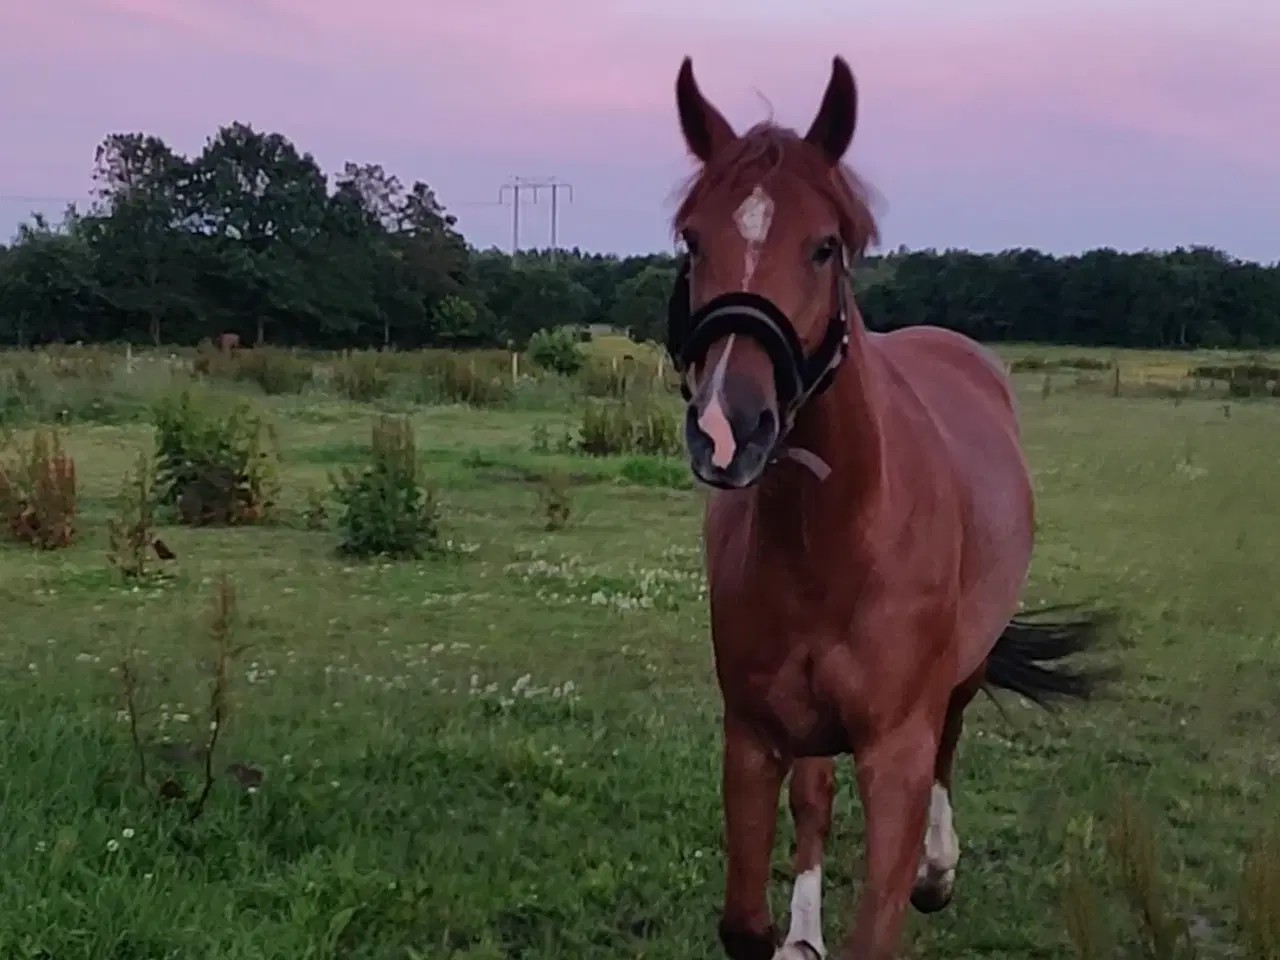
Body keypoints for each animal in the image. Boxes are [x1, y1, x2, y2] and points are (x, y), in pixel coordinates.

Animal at [670, 58, 1111, 960]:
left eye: (825, 246)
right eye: (693, 240)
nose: (727, 431)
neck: (837, 535)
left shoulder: (895, 750)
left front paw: (920, 879)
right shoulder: (754, 735)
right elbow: (747, 914)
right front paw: (791, 935)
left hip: (961, 672)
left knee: (954, 736)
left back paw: (937, 873)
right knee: (814, 799)